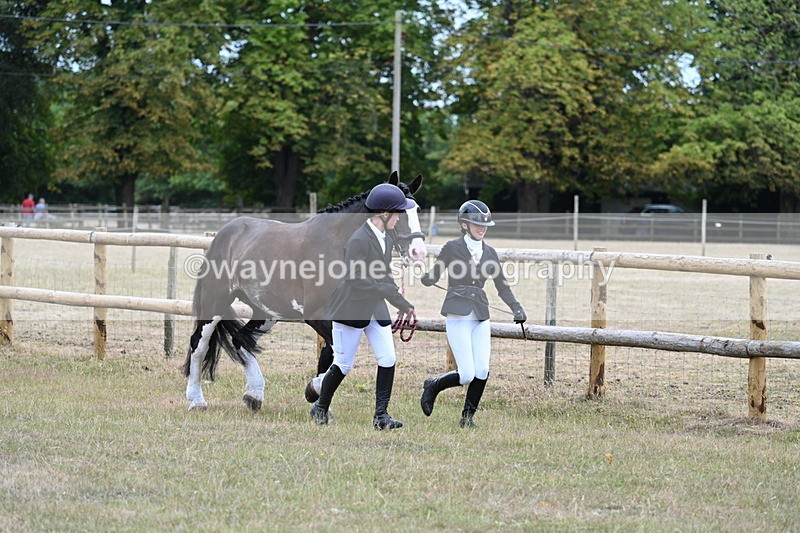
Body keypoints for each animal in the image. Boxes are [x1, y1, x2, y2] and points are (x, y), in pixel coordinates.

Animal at [182, 171, 426, 412]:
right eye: (398, 211)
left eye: (417, 209)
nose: (418, 251)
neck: (340, 245)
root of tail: (224, 234)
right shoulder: (316, 316)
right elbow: (338, 355)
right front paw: (314, 391)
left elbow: (329, 357)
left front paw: (318, 398)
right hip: (215, 302)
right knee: (199, 344)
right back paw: (197, 400)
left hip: (267, 312)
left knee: (240, 339)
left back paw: (253, 395)